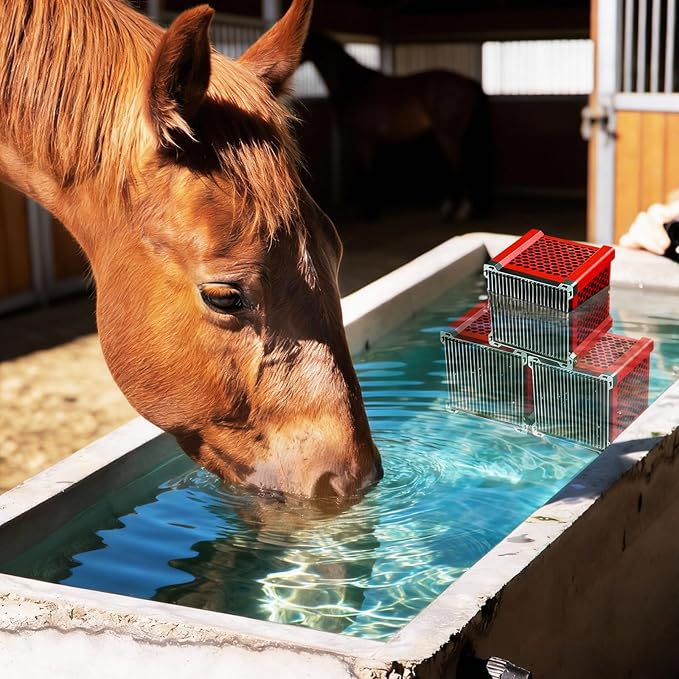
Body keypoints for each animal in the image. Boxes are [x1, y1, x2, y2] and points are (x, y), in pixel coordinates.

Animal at [301, 31, 494, 220]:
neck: (355, 87)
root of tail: (467, 82)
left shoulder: (363, 139)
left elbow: (366, 172)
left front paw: (369, 212)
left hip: (448, 135)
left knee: (458, 167)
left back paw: (459, 210)